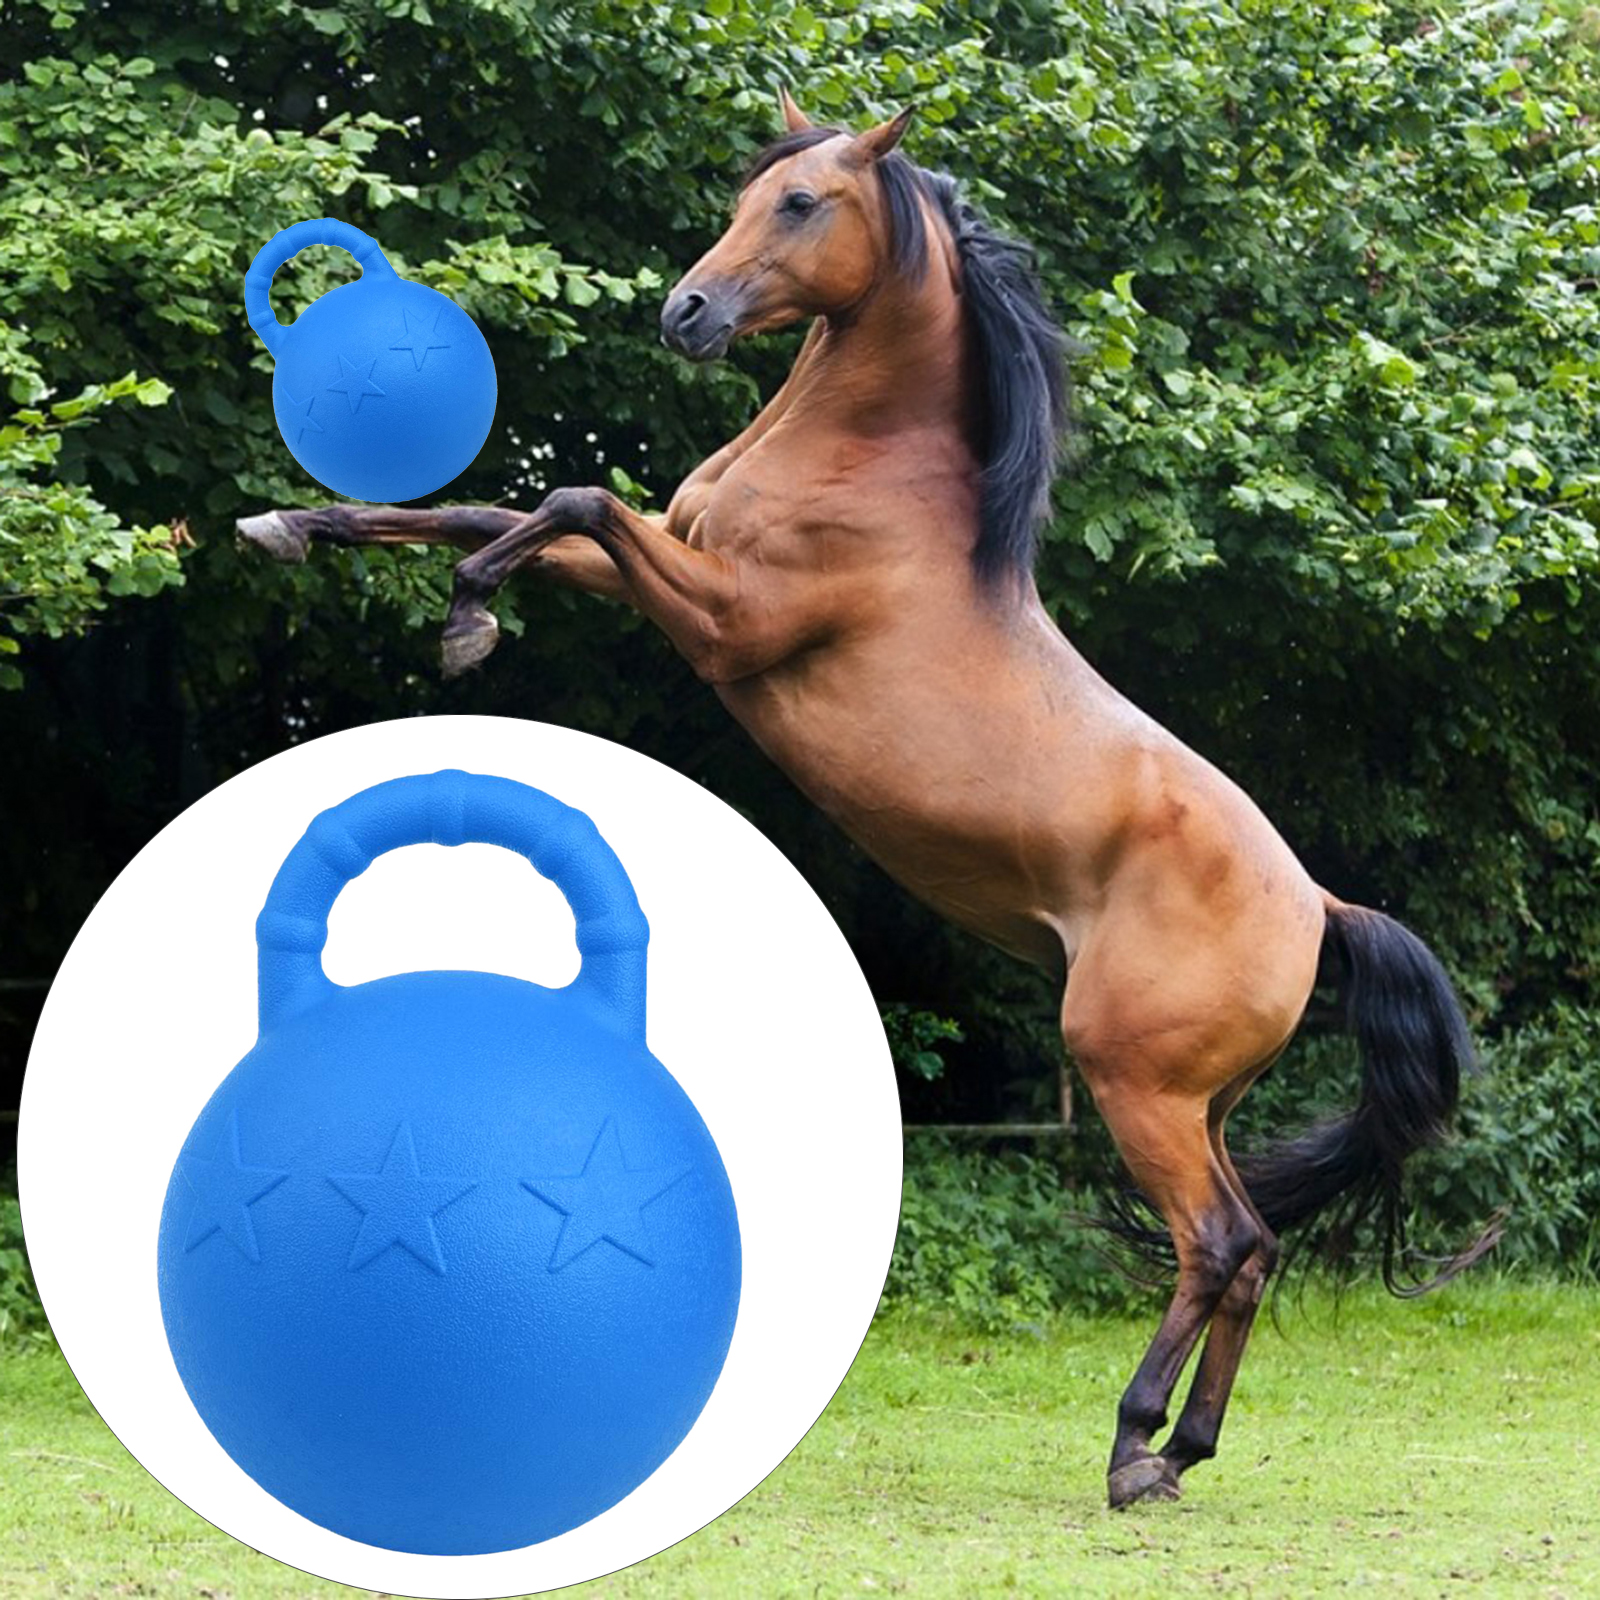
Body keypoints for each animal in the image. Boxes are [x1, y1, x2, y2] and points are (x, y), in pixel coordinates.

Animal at [237, 90, 1496, 1509]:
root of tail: (1319, 906)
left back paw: (1132, 1446)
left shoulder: (723, 622)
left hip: (1134, 1082)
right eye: (747, 195)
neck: (867, 472)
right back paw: (1182, 1452)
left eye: (800, 204)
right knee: (1250, 1249)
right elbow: (480, 507)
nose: (686, 312)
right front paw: (291, 528)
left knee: (1219, 1241)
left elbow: (570, 496)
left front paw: (466, 623)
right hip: (1198, 1101)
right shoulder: (659, 571)